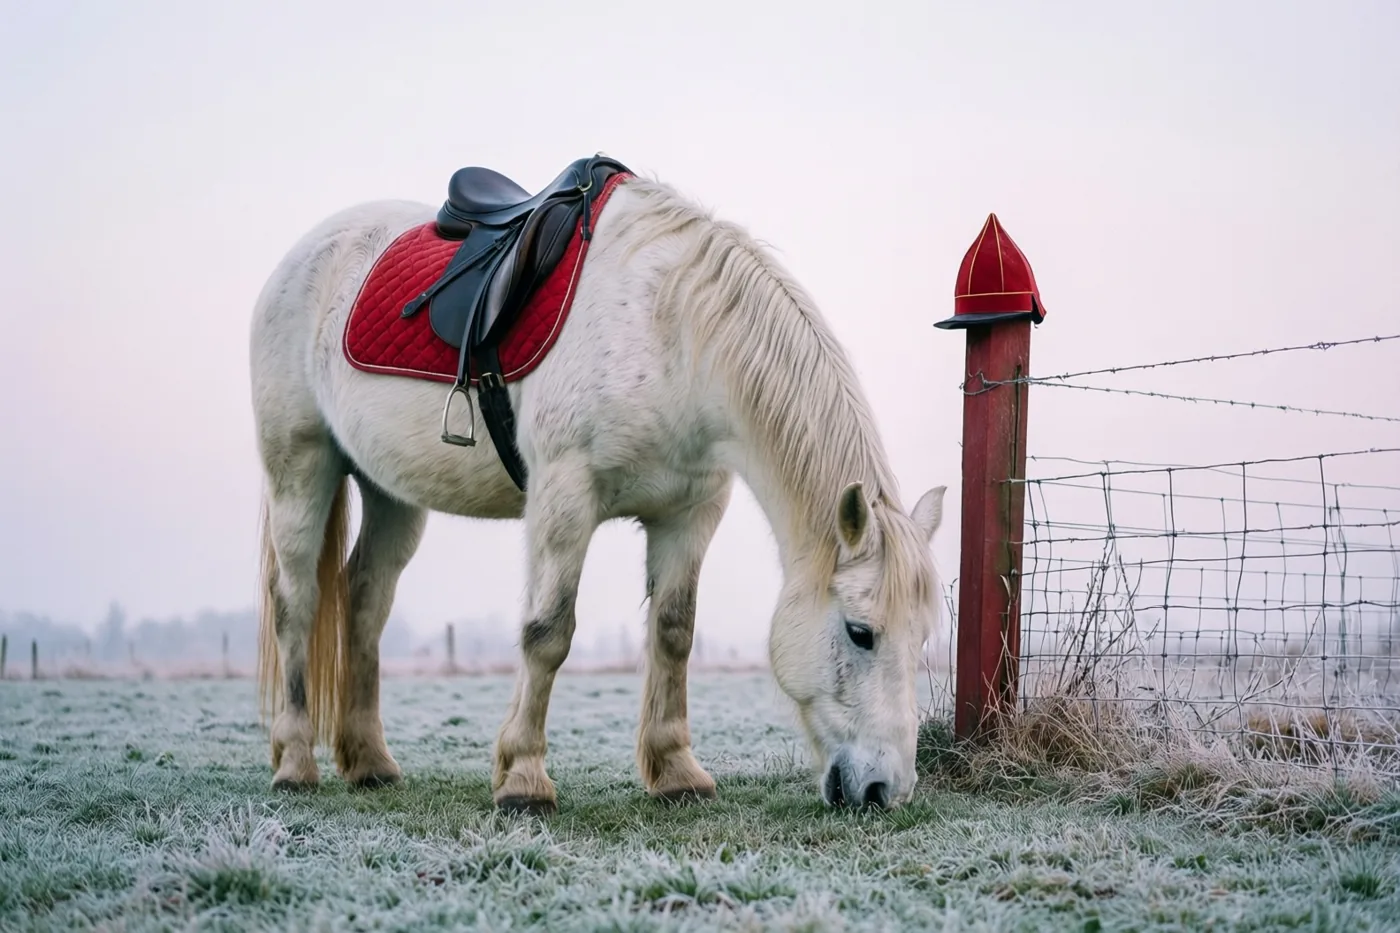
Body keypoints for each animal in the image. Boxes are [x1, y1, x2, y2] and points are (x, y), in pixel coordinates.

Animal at [249, 166, 947, 813]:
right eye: (860, 632)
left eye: (921, 638)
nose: (885, 789)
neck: (670, 329)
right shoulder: (565, 497)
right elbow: (548, 632)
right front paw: (523, 779)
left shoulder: (690, 513)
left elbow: (674, 633)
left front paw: (676, 772)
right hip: (300, 469)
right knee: (297, 603)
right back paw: (294, 764)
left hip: (391, 492)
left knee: (365, 602)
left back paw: (369, 762)